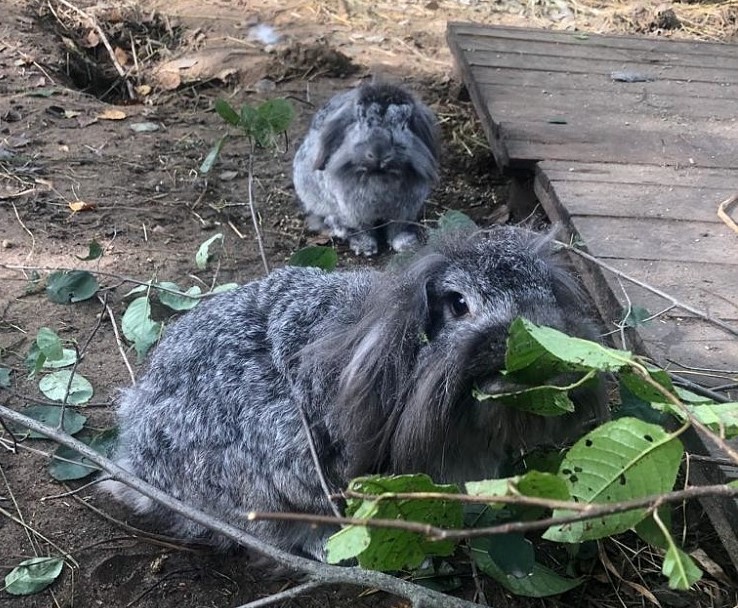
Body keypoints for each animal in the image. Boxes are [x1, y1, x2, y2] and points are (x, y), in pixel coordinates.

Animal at [290, 82, 436, 255]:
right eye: (361, 121)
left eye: (403, 124)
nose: (379, 154)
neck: (380, 178)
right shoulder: (353, 212)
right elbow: (362, 229)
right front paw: (365, 248)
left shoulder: (404, 212)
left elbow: (397, 229)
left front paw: (406, 245)